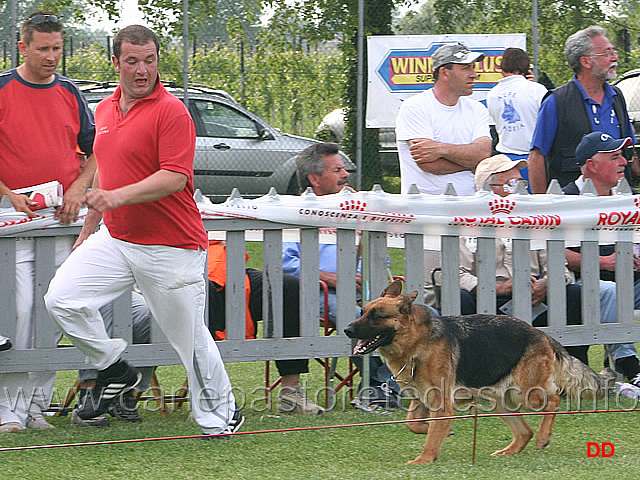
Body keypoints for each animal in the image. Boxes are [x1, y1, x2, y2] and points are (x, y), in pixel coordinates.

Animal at [344, 280, 604, 464]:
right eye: (363, 311)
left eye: (377, 315)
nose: (347, 330)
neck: (417, 341)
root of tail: (541, 334)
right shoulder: (421, 401)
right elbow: (413, 424)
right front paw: (440, 432)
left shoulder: (440, 403)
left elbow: (431, 436)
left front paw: (424, 459)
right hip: (501, 402)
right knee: (524, 432)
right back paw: (509, 451)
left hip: (528, 394)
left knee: (554, 399)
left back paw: (543, 437)